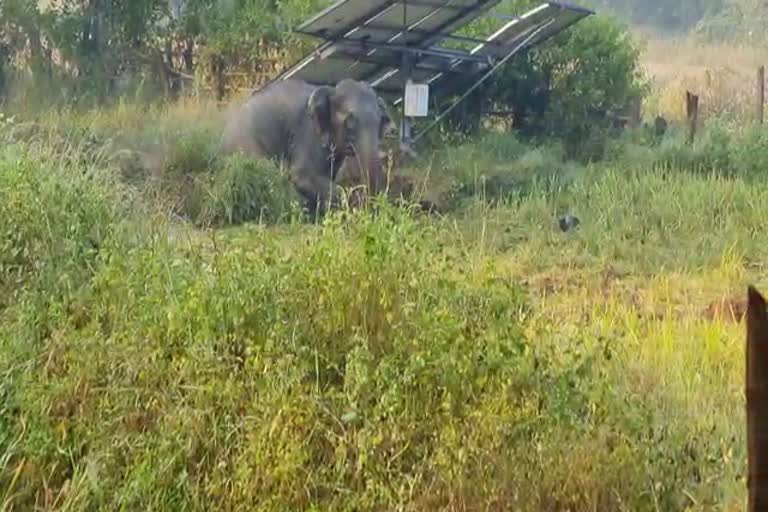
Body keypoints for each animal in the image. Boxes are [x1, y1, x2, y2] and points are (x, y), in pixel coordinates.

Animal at [219, 76, 392, 212]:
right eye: (349, 121)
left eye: (381, 120)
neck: (330, 90)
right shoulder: (307, 132)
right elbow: (301, 174)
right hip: (245, 144)